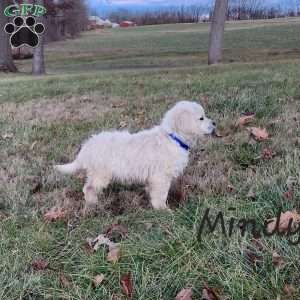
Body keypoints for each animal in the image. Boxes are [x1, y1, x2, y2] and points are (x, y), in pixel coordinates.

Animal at [54, 102, 216, 212]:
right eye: (201, 118)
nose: (214, 123)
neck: (173, 137)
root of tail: (87, 146)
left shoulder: (154, 177)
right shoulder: (161, 176)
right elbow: (161, 194)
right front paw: (163, 210)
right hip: (101, 173)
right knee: (88, 188)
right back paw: (93, 204)